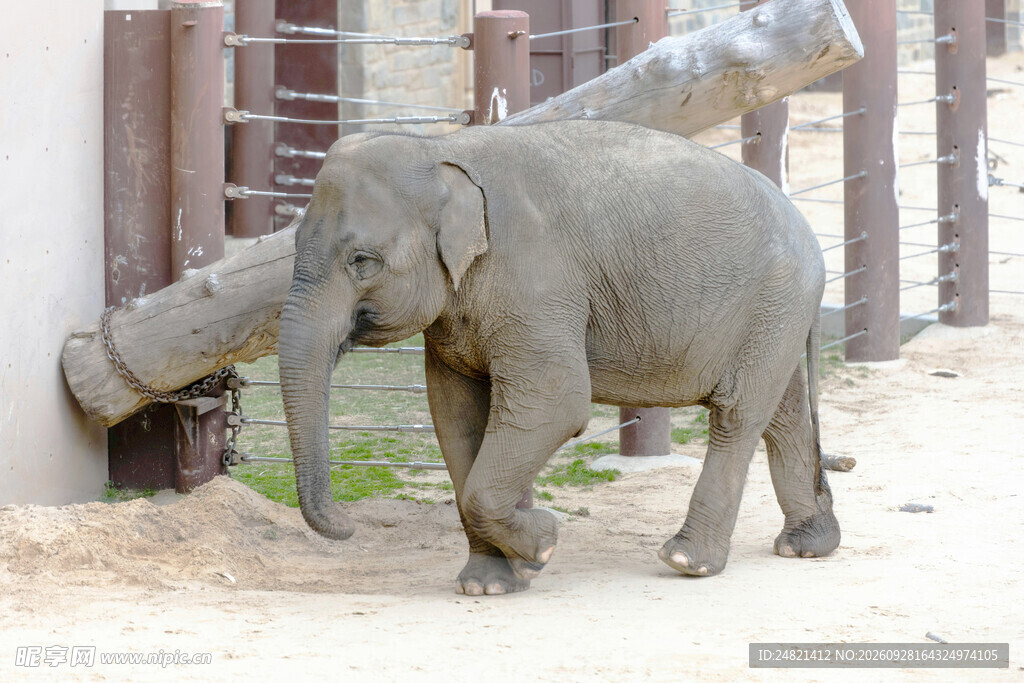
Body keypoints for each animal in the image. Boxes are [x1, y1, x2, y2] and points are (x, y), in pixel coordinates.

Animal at [277, 119, 841, 595]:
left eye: (362, 261)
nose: (351, 525)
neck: (440, 147)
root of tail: (806, 225)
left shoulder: (535, 281)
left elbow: (558, 401)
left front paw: (542, 545)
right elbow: (456, 417)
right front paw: (489, 583)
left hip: (774, 301)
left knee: (737, 415)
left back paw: (687, 561)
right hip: (774, 316)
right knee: (783, 414)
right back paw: (807, 546)